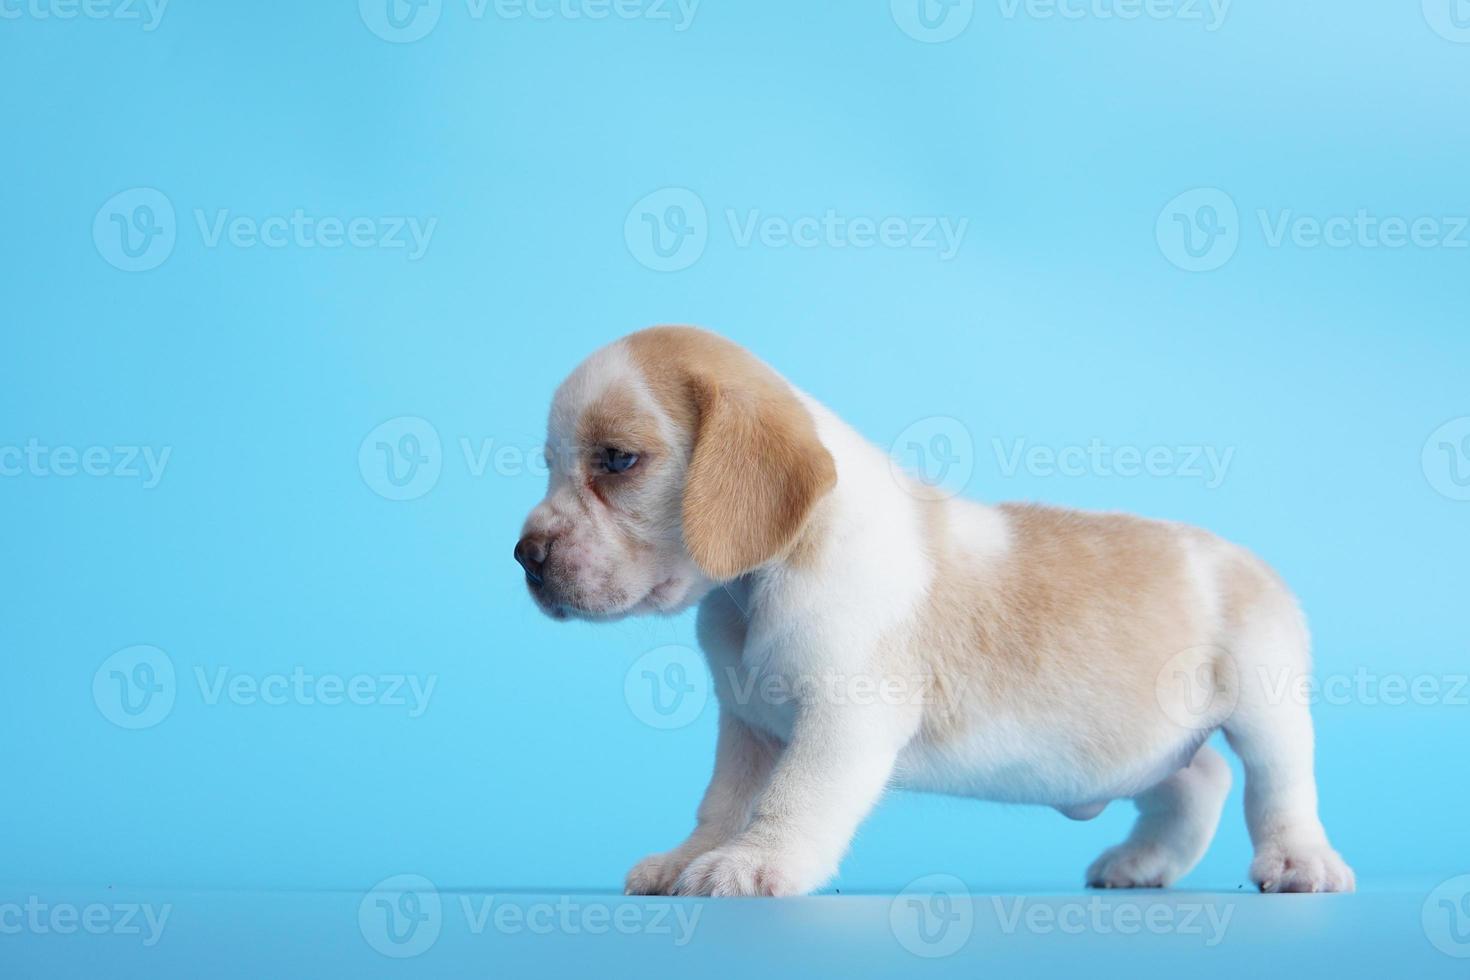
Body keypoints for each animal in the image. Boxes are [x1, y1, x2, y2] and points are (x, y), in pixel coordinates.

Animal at [514, 327, 1352, 899]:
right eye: (552, 464)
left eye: (618, 460)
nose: (524, 555)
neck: (759, 584)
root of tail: (1243, 559)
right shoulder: (748, 728)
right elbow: (721, 804)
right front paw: (691, 859)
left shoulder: (842, 722)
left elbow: (790, 801)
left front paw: (755, 863)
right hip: (1143, 744)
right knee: (1197, 779)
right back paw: (1143, 861)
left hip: (1266, 711)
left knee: (1277, 786)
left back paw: (1298, 861)